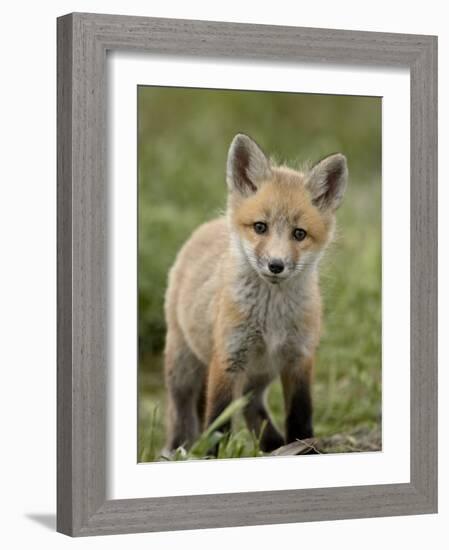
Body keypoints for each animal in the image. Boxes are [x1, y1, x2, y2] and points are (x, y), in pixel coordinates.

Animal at [163, 135, 348, 458]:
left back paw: (273, 445)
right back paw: (176, 450)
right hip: (183, 367)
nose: (276, 265)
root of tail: (208, 226)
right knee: (181, 413)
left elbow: (300, 417)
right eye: (260, 227)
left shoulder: (299, 358)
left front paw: (304, 448)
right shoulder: (227, 358)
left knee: (252, 408)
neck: (271, 318)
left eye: (299, 234)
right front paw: (212, 457)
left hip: (259, 376)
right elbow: (217, 421)